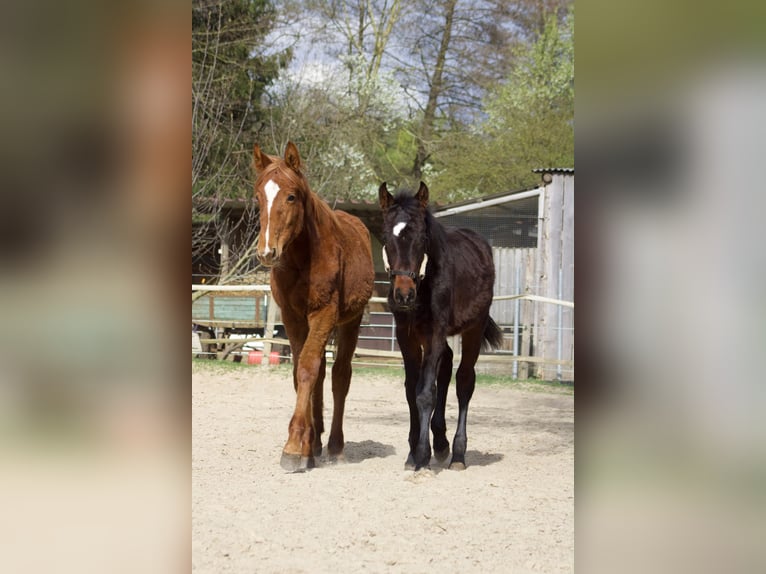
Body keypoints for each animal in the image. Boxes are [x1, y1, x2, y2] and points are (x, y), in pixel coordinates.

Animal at [253, 142, 375, 471]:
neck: (302, 259)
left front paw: (295, 447)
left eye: (291, 196)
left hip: (350, 322)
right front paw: (306, 444)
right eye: (258, 196)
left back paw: (334, 446)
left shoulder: (325, 313)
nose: (267, 251)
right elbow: (301, 372)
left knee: (340, 376)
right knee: (321, 374)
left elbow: (309, 368)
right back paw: (317, 442)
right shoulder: (293, 318)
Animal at [379, 181, 503, 471]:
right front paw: (413, 453)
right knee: (445, 367)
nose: (404, 295)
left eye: (421, 238)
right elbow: (412, 389)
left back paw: (457, 454)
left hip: (473, 328)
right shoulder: (407, 337)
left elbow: (425, 393)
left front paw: (422, 456)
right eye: (386, 238)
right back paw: (441, 442)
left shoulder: (435, 332)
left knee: (464, 381)